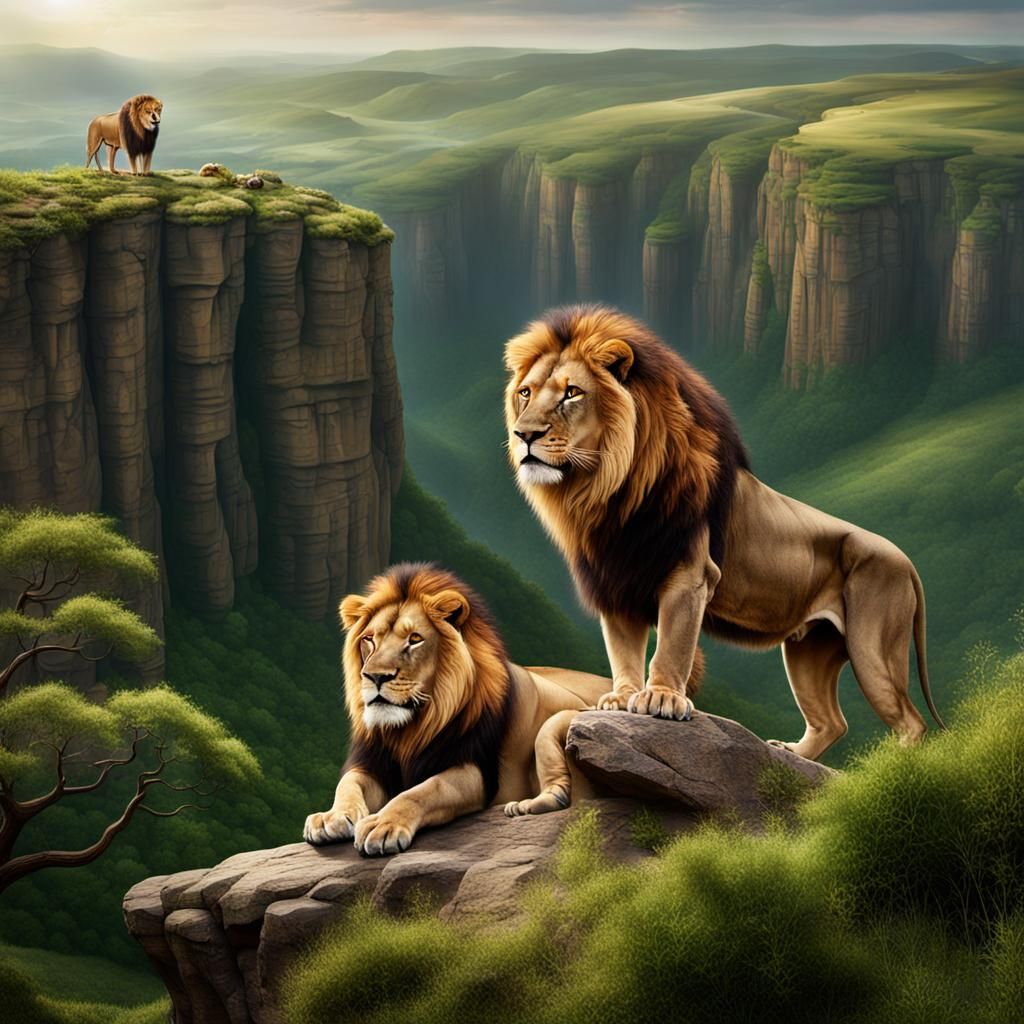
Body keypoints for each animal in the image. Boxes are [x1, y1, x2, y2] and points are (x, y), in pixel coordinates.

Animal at [303, 562, 705, 853]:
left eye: (414, 640)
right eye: (369, 640)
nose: (374, 677)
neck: (413, 725)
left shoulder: (476, 771)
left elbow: (423, 790)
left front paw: (384, 824)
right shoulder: (371, 762)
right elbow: (348, 785)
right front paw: (330, 818)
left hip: (561, 724)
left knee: (560, 791)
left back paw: (525, 806)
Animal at [503, 305, 944, 761]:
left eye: (572, 392)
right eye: (526, 393)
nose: (524, 434)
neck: (608, 490)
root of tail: (905, 559)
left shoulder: (690, 576)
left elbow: (672, 645)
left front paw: (662, 699)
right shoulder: (617, 580)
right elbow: (622, 651)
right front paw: (621, 698)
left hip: (872, 648)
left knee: (912, 722)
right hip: (809, 650)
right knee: (831, 722)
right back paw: (790, 752)